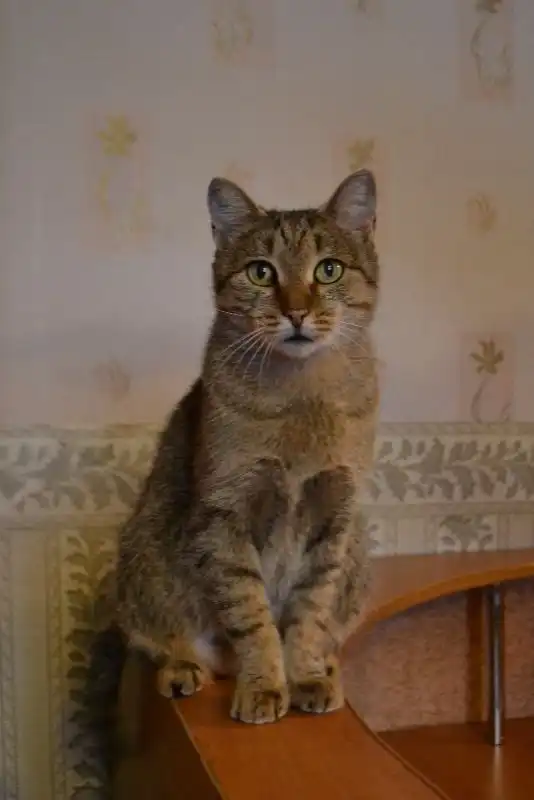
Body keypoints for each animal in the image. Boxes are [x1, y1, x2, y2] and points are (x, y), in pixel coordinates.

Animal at [116, 169, 380, 725]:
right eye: (261, 272)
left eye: (328, 269)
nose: (297, 311)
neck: (303, 398)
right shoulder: (225, 513)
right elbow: (252, 614)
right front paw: (263, 684)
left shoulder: (335, 517)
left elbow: (309, 612)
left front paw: (303, 674)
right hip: (142, 555)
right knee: (159, 640)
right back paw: (183, 670)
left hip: (359, 552)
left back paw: (328, 670)